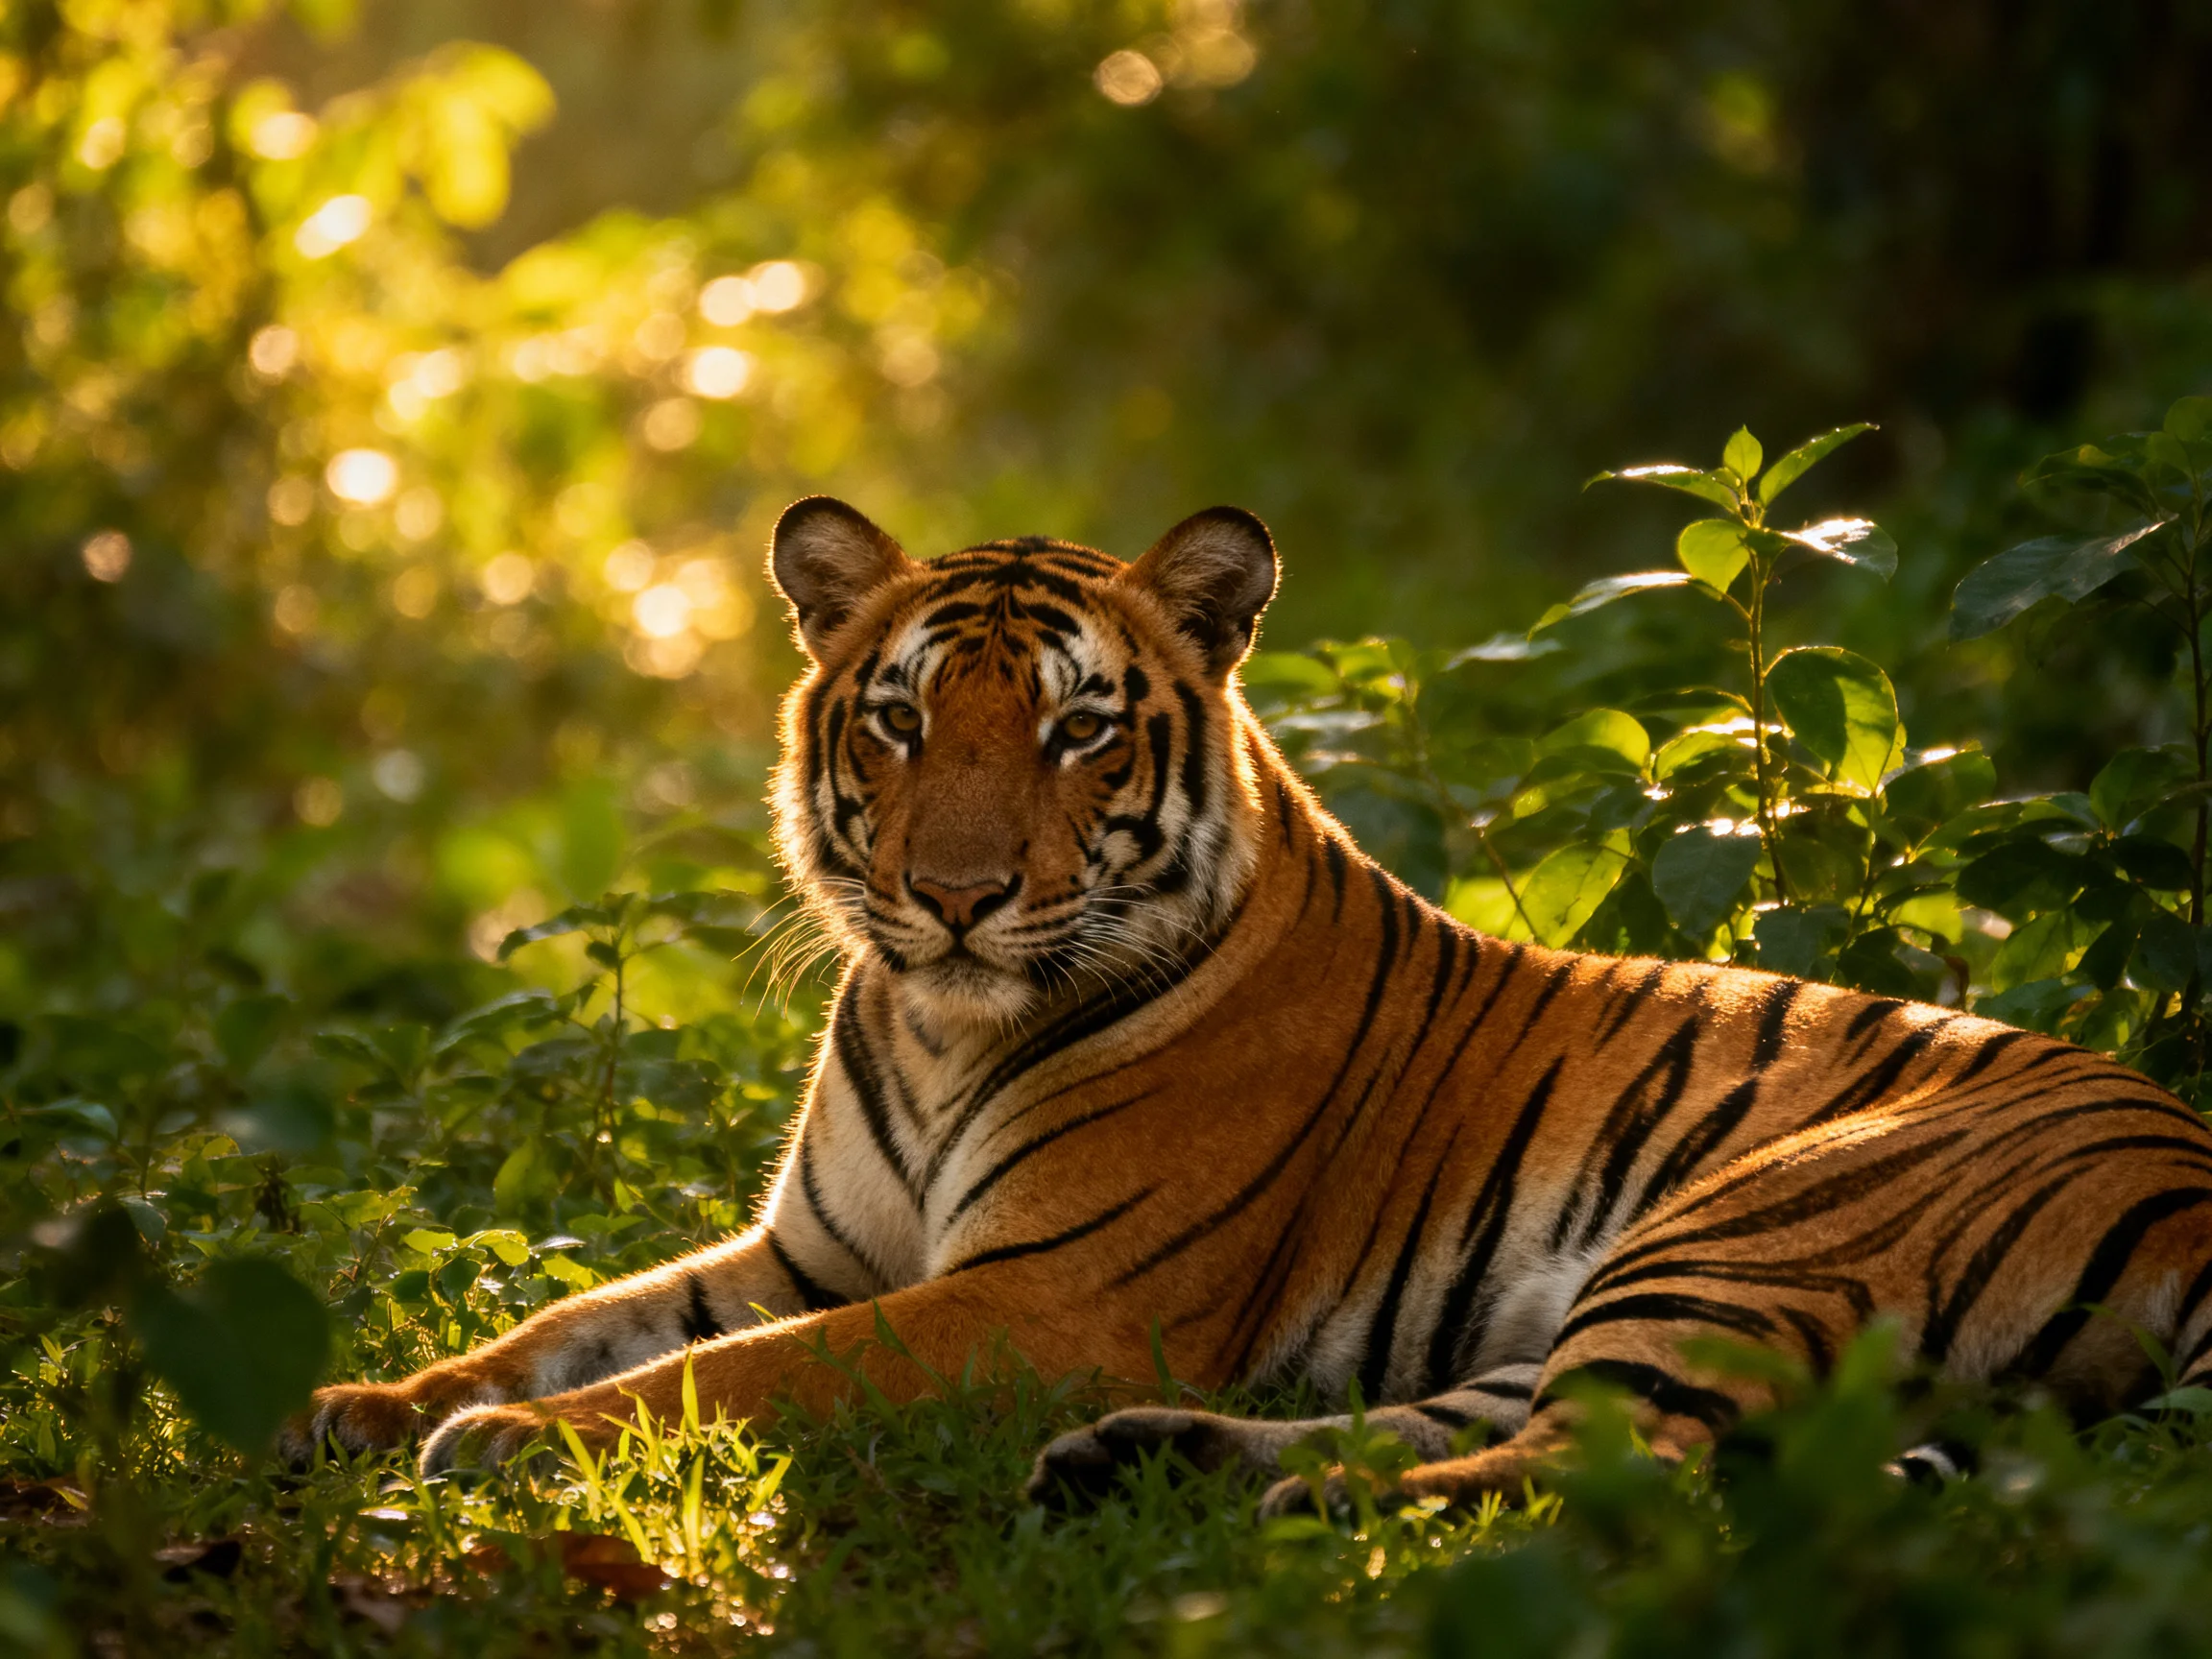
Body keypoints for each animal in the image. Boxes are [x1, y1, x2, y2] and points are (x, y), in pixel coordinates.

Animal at [285, 495, 2212, 1519]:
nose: (958, 893)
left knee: (1621, 1463)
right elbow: (584, 1320)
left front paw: (496, 1444)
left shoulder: (1043, 1293)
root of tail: (2188, 1160)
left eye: (1076, 728)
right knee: (1536, 1422)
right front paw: (373, 1400)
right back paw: (1147, 1463)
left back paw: (1295, 1506)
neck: (937, 1025)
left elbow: (727, 1376)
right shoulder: (817, 1250)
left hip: (1755, 1225)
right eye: (899, 721)